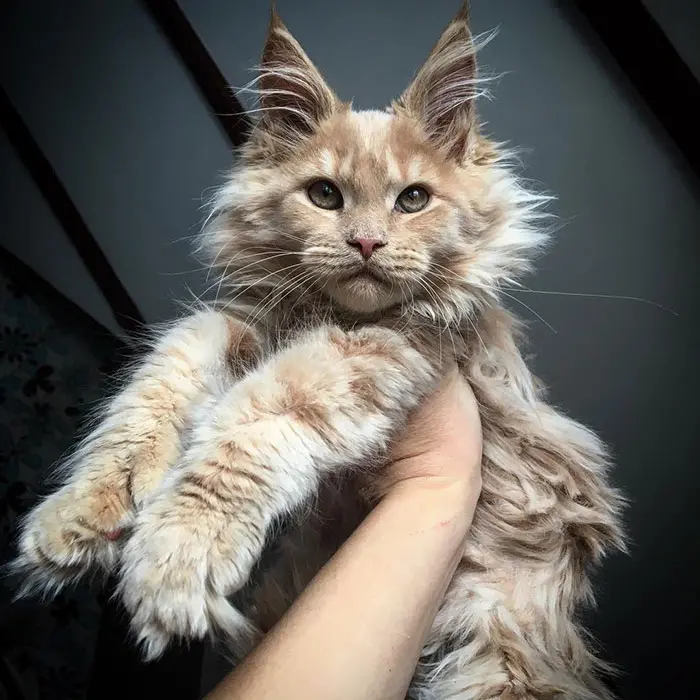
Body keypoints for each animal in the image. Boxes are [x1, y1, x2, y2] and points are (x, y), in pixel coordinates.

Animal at [12, 5, 624, 700]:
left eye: (414, 199)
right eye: (325, 195)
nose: (366, 242)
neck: (335, 315)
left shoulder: (378, 354)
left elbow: (246, 427)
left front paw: (177, 555)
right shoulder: (239, 326)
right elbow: (156, 388)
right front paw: (86, 511)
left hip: (502, 651)